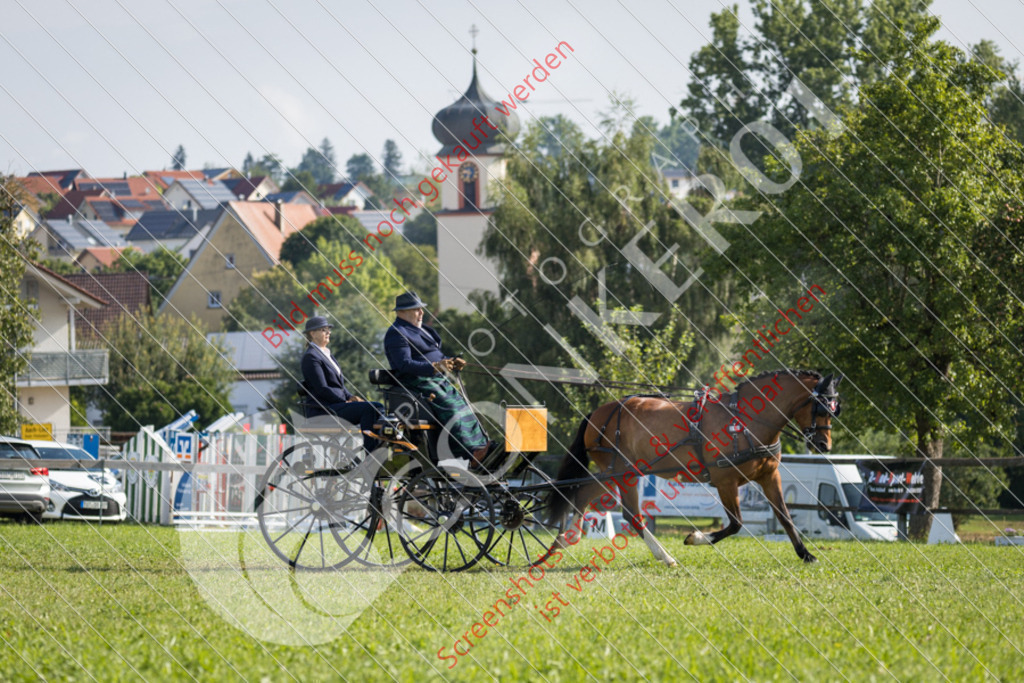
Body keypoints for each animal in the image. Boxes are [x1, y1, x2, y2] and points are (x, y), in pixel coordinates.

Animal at [544, 370, 839, 565]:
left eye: (835, 408)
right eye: (822, 407)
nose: (824, 444)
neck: (744, 421)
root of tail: (598, 414)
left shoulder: (769, 475)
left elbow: (785, 516)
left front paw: (806, 554)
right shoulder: (725, 481)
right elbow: (736, 524)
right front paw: (695, 538)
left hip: (615, 472)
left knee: (584, 493)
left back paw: (566, 538)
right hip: (623, 473)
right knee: (632, 515)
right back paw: (665, 556)